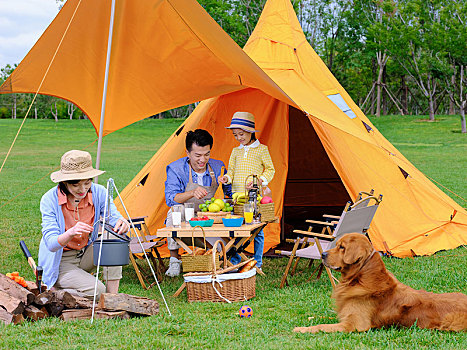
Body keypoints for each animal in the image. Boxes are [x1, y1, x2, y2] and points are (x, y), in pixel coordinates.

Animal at [294, 234, 467, 332]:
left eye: (342, 247)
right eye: (337, 245)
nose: (322, 254)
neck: (359, 277)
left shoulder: (354, 325)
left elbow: (321, 326)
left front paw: (300, 329)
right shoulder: (345, 315)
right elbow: (324, 318)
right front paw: (308, 318)